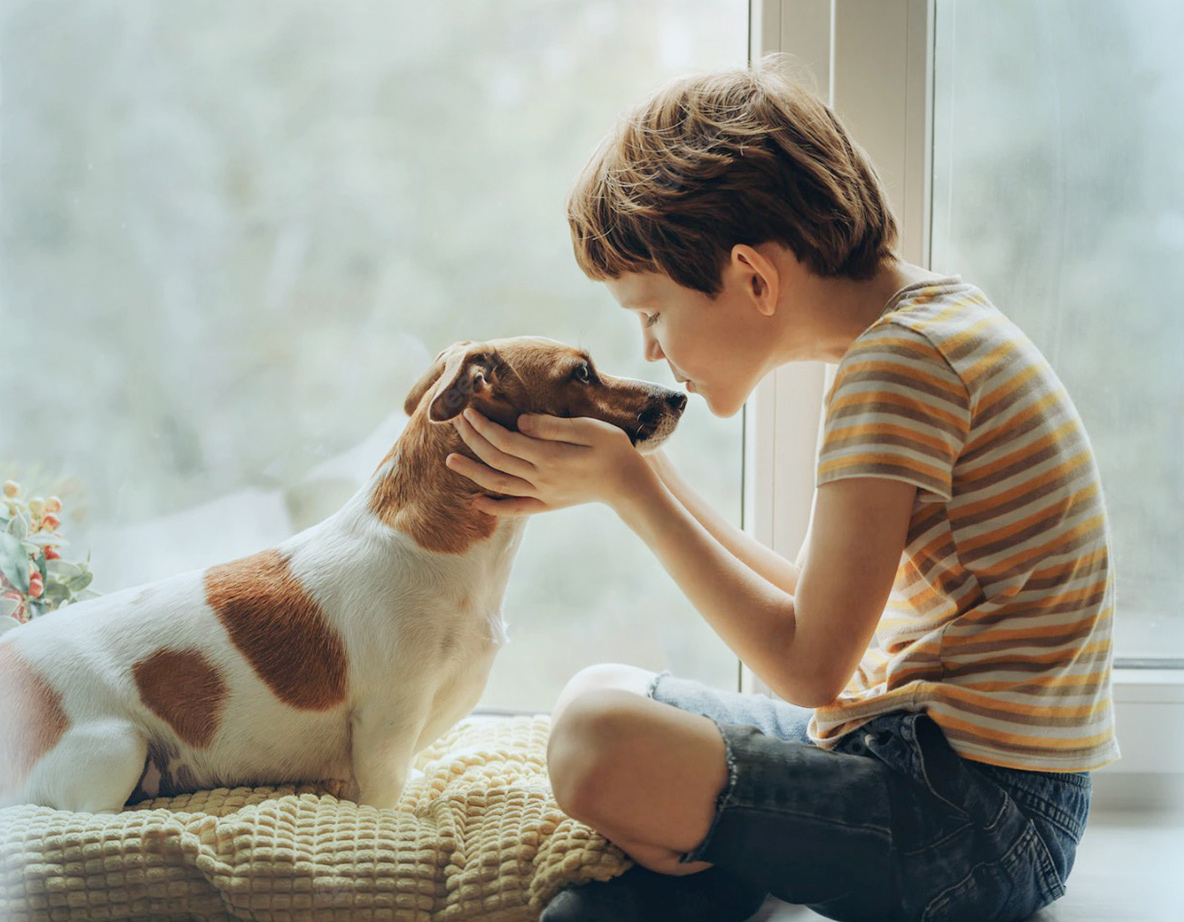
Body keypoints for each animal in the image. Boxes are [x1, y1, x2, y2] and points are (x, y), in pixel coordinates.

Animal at [0, 338, 691, 814]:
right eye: (582, 372)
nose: (680, 395)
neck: (442, 551)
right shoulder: (386, 734)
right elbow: (385, 800)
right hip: (117, 747)